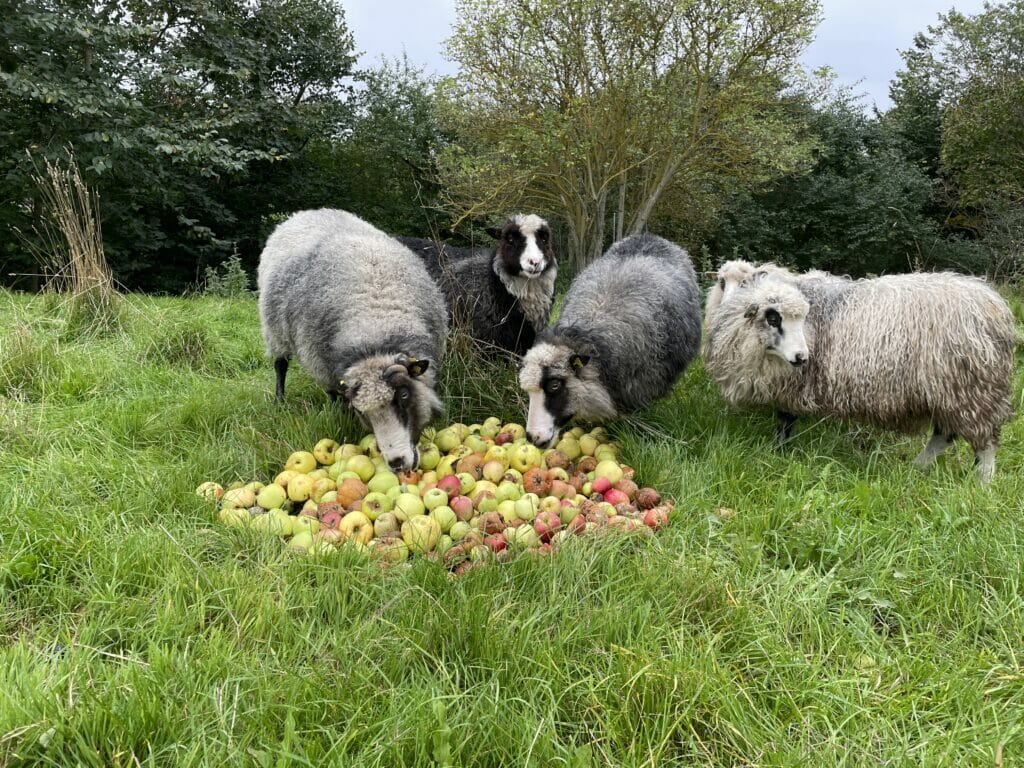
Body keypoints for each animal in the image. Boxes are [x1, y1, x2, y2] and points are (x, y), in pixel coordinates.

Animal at [258, 210, 446, 475]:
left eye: (404, 396)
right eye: (360, 411)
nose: (398, 464)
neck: (374, 324)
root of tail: (306, 212)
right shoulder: (324, 364)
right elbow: (332, 391)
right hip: (275, 331)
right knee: (280, 365)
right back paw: (280, 400)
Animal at [704, 268, 1015, 483]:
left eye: (794, 318)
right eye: (772, 317)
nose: (802, 357)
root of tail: (995, 305)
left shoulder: (792, 386)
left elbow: (785, 420)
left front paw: (778, 452)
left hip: (971, 389)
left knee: (984, 442)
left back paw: (983, 483)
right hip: (948, 391)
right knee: (944, 435)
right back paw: (917, 468)